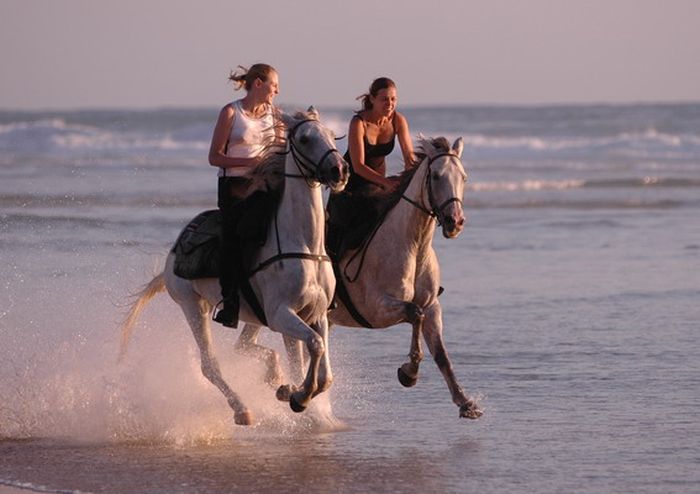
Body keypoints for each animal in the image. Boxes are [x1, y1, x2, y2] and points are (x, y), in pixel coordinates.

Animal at [121, 108, 352, 424]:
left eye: (331, 135)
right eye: (305, 139)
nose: (340, 171)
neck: (305, 247)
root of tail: (172, 255)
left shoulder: (316, 314)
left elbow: (324, 372)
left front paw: (290, 392)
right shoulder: (281, 314)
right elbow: (314, 346)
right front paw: (299, 397)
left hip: (245, 313)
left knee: (247, 349)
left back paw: (274, 378)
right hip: (192, 306)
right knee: (210, 365)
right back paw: (242, 409)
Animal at [238, 136, 484, 420]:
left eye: (463, 177)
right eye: (436, 176)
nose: (455, 222)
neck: (413, 246)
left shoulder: (432, 306)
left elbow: (441, 353)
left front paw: (466, 402)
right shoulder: (377, 309)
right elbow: (415, 314)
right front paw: (408, 373)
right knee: (247, 346)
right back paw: (285, 385)